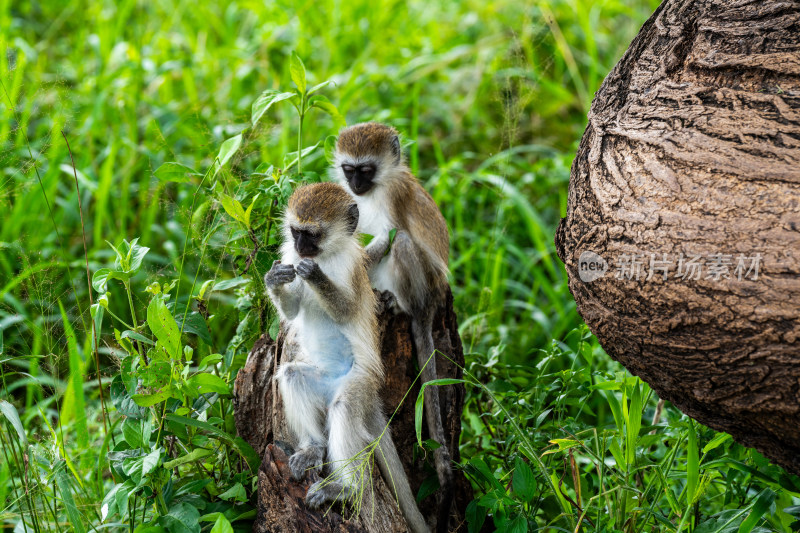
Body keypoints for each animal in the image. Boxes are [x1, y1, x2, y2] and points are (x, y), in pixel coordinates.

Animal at [264, 182, 428, 532]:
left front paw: (314, 276)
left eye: (311, 235)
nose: (301, 248)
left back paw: (345, 488)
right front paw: (274, 278)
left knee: (344, 408)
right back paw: (313, 448)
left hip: (358, 384)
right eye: (295, 232)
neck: (327, 256)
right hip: (321, 378)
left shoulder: (353, 268)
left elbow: (346, 309)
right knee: (293, 375)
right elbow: (292, 310)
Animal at [332, 124, 456, 532]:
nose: (355, 185)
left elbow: (388, 233)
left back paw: (397, 304)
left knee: (400, 242)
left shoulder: (394, 194)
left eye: (366, 170)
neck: (376, 189)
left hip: (423, 285)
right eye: (349, 169)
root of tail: (431, 303)